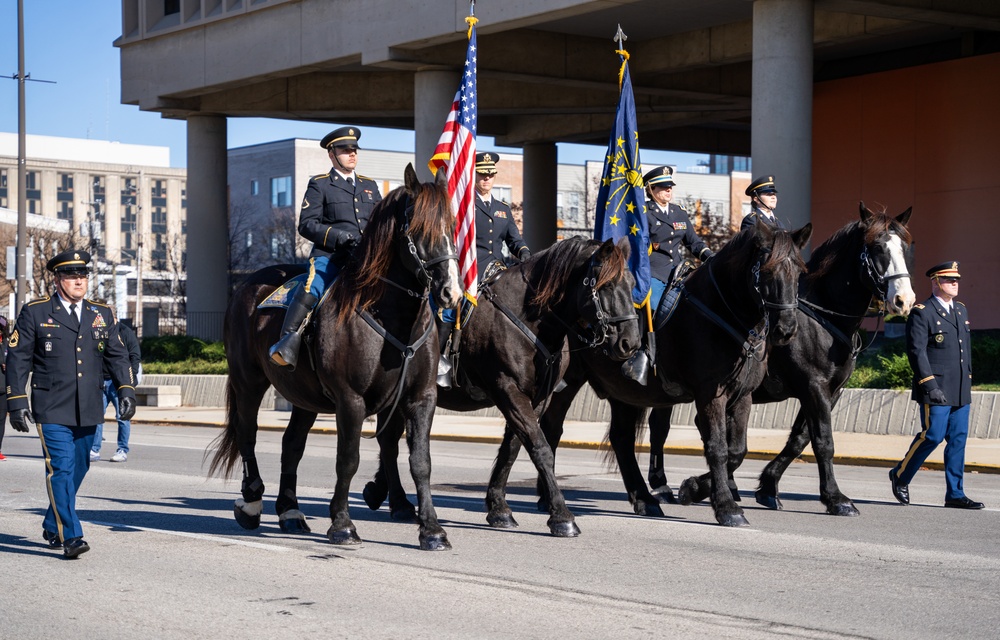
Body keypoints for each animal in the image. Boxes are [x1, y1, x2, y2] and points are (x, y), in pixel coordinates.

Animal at [210, 165, 464, 552]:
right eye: (419, 228)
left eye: (451, 226)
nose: (451, 292)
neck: (391, 315)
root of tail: (247, 286)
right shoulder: (350, 399)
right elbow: (348, 459)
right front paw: (342, 525)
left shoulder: (420, 398)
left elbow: (420, 461)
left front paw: (432, 530)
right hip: (248, 380)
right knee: (247, 433)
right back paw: (252, 502)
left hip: (303, 396)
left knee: (291, 444)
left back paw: (290, 512)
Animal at [366, 238, 640, 536]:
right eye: (608, 285)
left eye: (632, 284)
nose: (630, 343)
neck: (529, 319)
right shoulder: (507, 389)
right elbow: (540, 448)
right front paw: (562, 516)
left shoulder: (535, 398)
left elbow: (513, 447)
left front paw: (499, 508)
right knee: (389, 440)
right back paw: (398, 502)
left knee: (388, 438)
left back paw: (384, 493)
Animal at [524, 220, 812, 524]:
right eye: (767, 270)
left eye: (799, 271)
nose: (786, 329)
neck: (723, 311)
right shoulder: (710, 395)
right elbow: (718, 448)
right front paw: (726, 507)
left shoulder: (742, 395)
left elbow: (737, 450)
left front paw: (694, 488)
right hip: (568, 383)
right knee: (552, 429)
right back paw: (547, 498)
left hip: (624, 391)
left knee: (621, 439)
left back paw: (644, 499)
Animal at [648, 202, 916, 512]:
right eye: (876, 247)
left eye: (904, 248)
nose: (904, 300)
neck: (823, 316)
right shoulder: (814, 387)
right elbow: (823, 441)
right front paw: (836, 498)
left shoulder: (829, 390)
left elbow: (800, 439)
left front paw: (768, 485)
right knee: (660, 427)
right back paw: (662, 485)